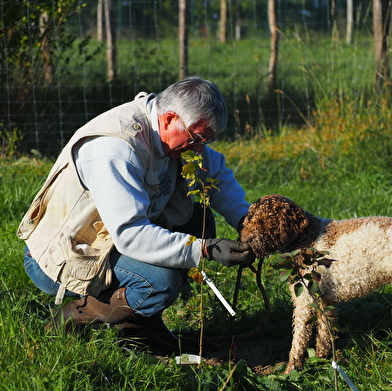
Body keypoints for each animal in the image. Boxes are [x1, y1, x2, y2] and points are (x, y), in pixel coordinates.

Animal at [239, 194, 392, 376]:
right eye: (250, 218)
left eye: (267, 221)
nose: (244, 241)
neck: (306, 237)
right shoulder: (325, 300)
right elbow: (324, 334)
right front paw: (322, 359)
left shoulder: (304, 301)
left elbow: (299, 340)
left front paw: (290, 370)